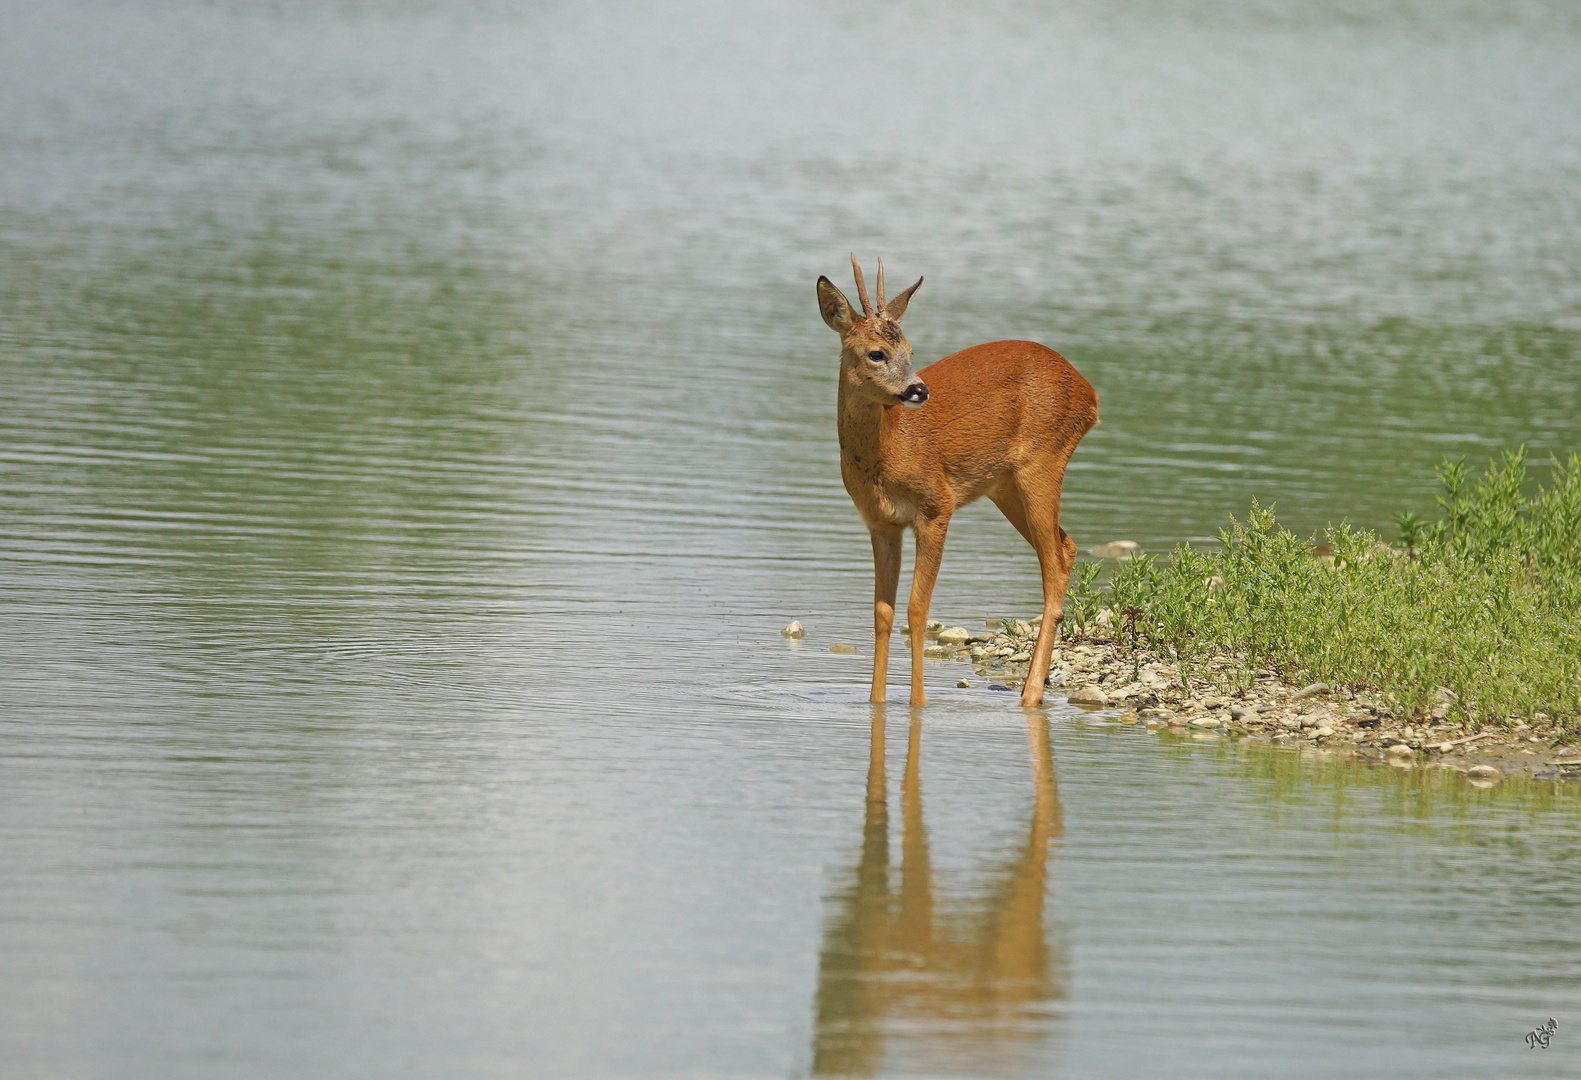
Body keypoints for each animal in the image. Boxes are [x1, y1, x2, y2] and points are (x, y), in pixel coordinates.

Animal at [815, 254, 1100, 708]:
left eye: (911, 351)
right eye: (877, 353)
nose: (918, 389)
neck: (891, 449)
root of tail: (1091, 395)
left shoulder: (936, 505)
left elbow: (916, 609)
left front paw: (918, 703)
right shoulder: (881, 523)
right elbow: (882, 612)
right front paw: (876, 701)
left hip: (1043, 460)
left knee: (1053, 562)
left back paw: (1030, 694)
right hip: (1004, 486)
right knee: (1067, 546)